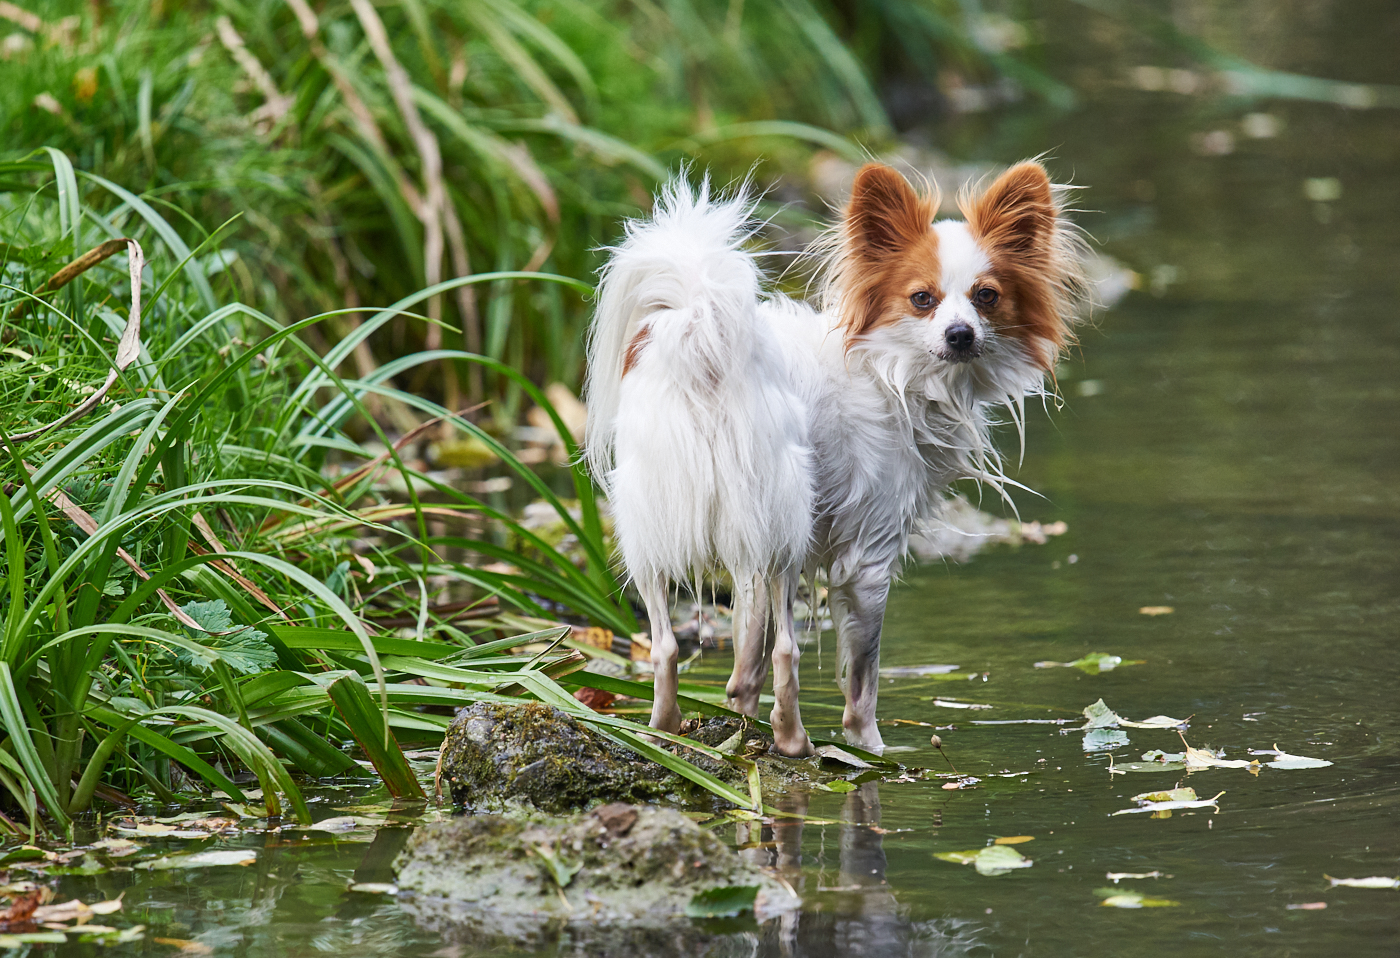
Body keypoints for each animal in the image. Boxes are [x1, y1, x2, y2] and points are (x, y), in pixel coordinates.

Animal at [585, 158, 1086, 756]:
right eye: (922, 299)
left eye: (986, 296)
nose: (961, 335)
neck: (892, 373)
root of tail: (702, 338)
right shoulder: (870, 552)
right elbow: (862, 677)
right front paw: (867, 749)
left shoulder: (750, 552)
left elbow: (746, 659)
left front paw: (741, 722)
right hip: (785, 524)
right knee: (788, 649)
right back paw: (793, 738)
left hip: (660, 526)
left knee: (665, 646)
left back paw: (663, 729)